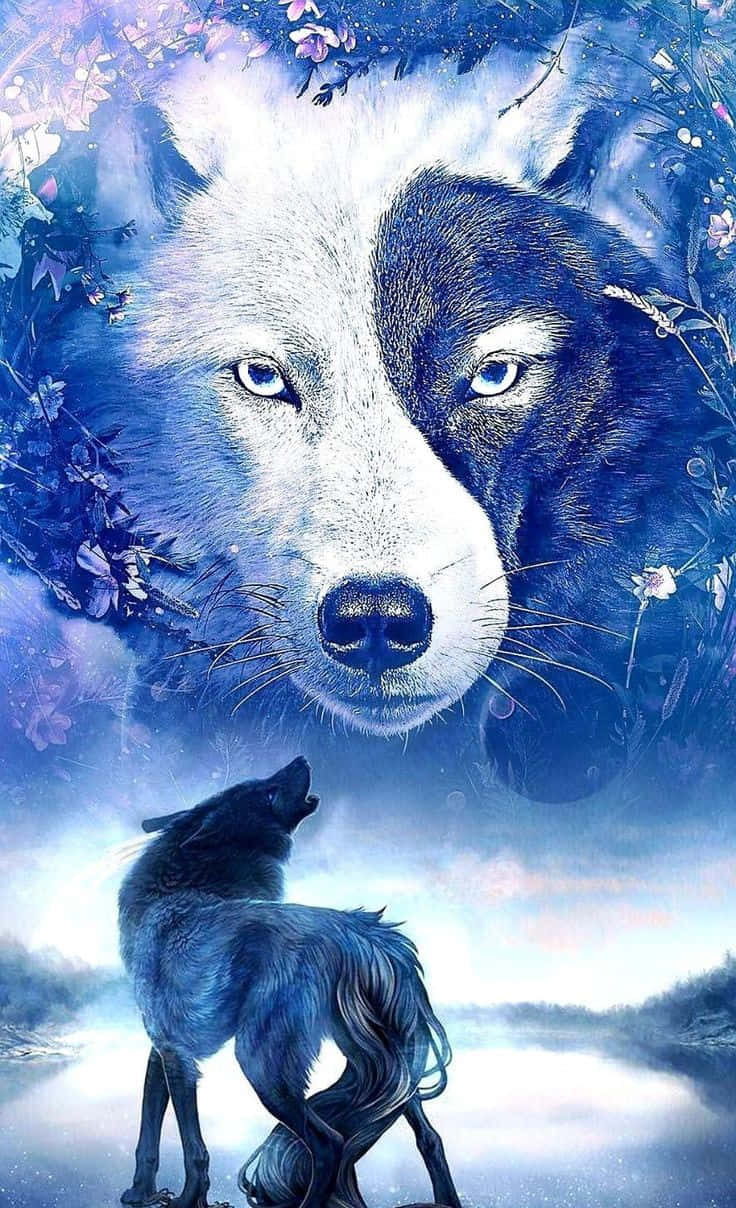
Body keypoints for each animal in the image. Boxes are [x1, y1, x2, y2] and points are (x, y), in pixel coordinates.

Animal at [118, 756, 461, 1208]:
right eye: (264, 790)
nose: (302, 759)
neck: (178, 890)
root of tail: (363, 934)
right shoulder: (166, 1051)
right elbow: (149, 1131)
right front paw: (141, 1194)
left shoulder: (177, 1055)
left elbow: (193, 1149)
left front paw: (186, 1202)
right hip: (387, 1062)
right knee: (429, 1137)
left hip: (261, 1063)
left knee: (329, 1144)